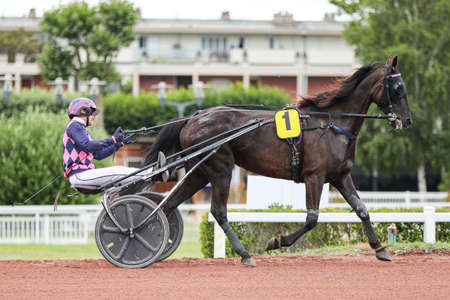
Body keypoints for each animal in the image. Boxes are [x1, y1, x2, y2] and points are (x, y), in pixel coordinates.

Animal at [143, 55, 412, 266]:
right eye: (398, 88)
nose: (407, 120)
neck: (331, 125)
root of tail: (194, 117)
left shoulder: (340, 176)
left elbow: (362, 209)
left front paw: (380, 248)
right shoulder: (314, 177)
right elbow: (312, 218)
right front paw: (277, 241)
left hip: (200, 172)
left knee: (168, 205)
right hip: (220, 169)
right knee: (218, 211)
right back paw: (244, 254)